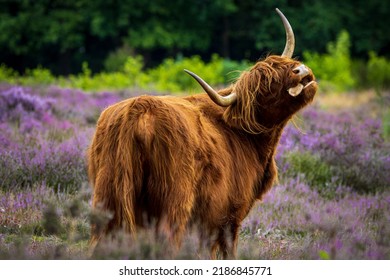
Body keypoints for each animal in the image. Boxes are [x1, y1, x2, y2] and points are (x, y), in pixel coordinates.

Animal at [87, 8, 316, 258]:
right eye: (266, 85)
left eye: (284, 63)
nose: (300, 70)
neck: (245, 135)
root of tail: (139, 110)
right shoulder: (229, 215)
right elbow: (227, 251)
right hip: (174, 202)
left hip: (109, 197)